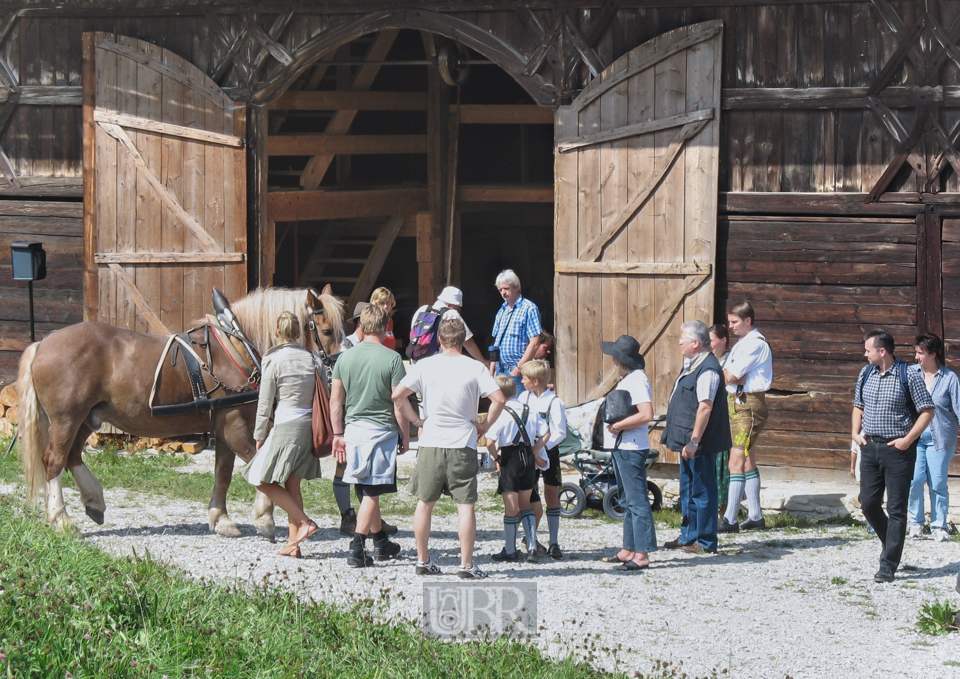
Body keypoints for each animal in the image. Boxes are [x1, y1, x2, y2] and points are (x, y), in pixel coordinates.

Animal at [15, 286, 344, 540]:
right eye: (327, 331)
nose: (337, 367)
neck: (237, 345)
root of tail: (43, 343)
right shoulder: (234, 428)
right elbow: (258, 466)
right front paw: (264, 517)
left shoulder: (224, 425)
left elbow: (223, 473)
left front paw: (221, 519)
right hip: (66, 419)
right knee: (54, 461)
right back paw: (61, 519)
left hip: (88, 417)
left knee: (72, 457)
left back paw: (94, 501)